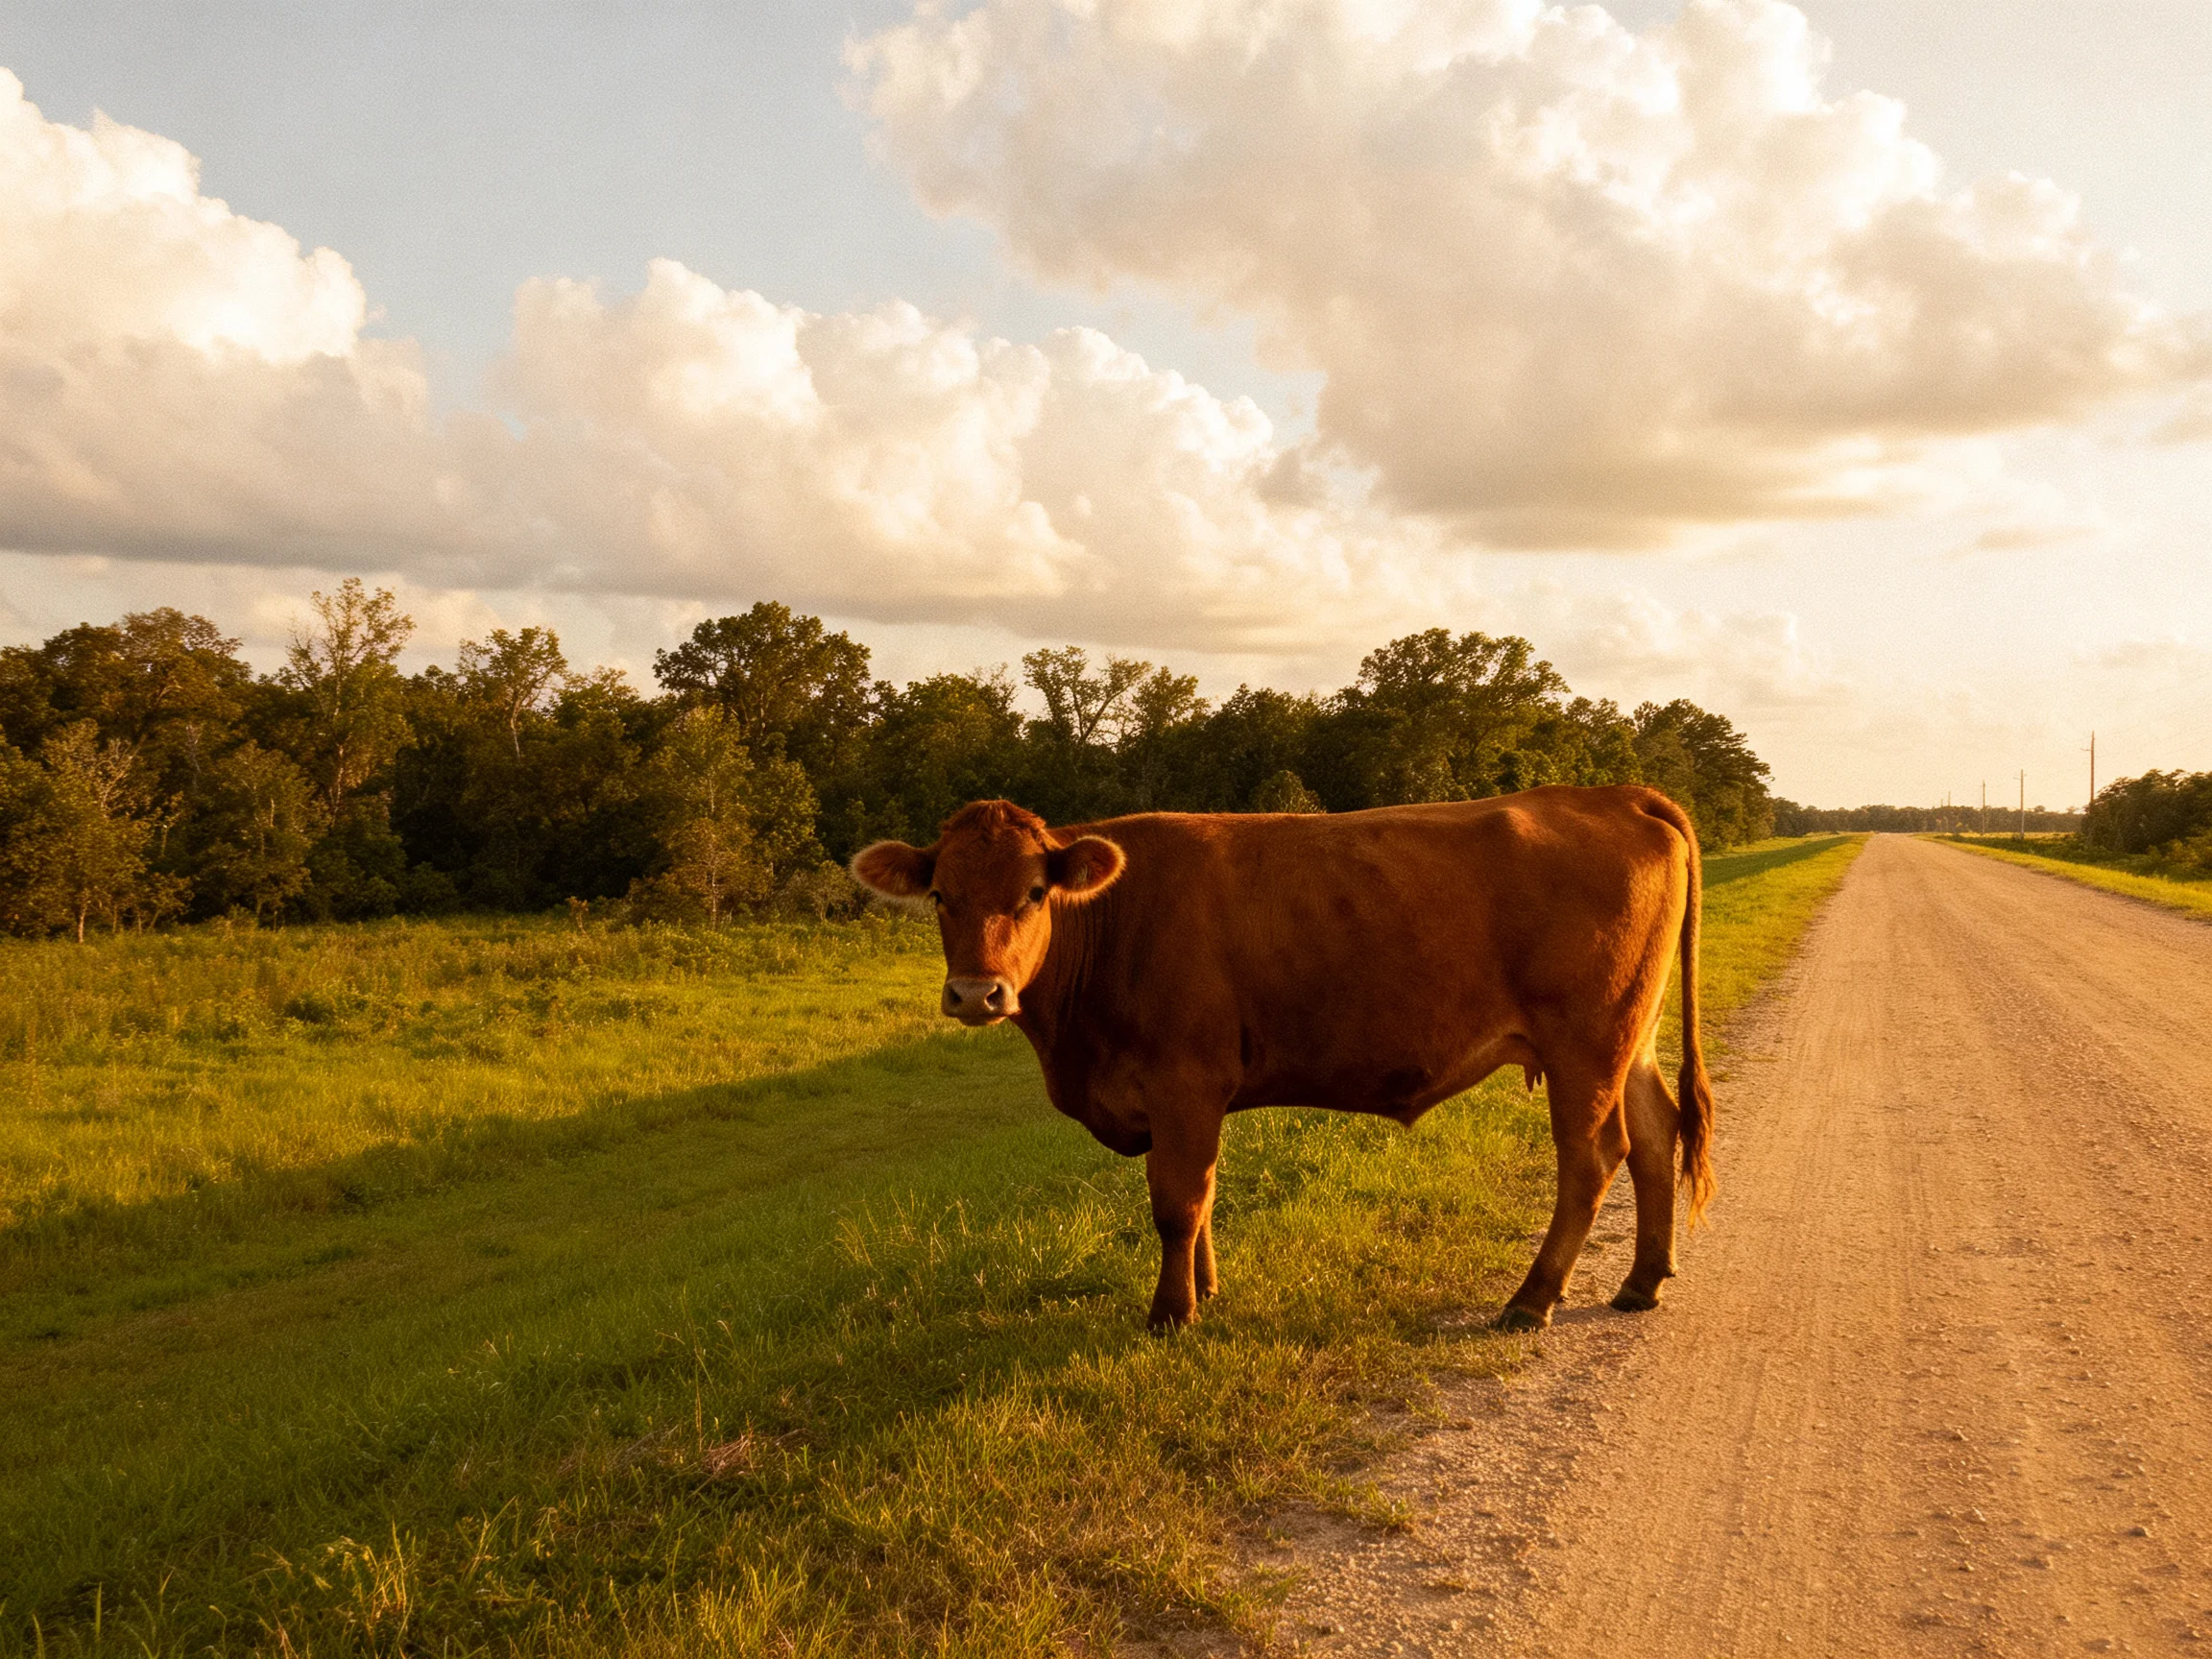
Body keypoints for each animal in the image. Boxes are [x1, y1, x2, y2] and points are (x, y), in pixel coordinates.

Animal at [848, 785, 1713, 1332]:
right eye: (940, 896)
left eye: (1033, 893)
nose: (976, 993)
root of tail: (1615, 793)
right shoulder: (1177, 1098)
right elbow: (1199, 1195)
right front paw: (1206, 1288)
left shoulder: (1185, 1081)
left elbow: (1177, 1202)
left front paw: (1172, 1314)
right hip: (1630, 1036)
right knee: (1656, 1134)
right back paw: (1641, 1282)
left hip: (1585, 1043)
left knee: (1592, 1157)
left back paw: (1532, 1299)